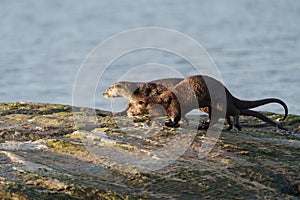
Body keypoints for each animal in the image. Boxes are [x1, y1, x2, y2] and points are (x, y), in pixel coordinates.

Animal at [133, 75, 288, 131]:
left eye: (136, 104)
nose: (131, 112)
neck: (162, 100)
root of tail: (229, 94)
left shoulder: (174, 104)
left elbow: (176, 116)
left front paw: (169, 123)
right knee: (221, 117)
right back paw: (219, 126)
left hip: (220, 102)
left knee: (234, 112)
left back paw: (235, 125)